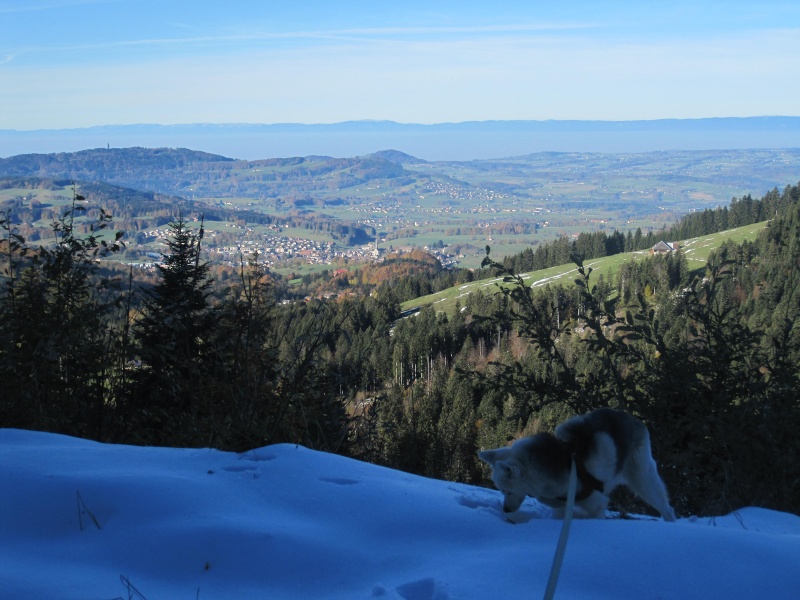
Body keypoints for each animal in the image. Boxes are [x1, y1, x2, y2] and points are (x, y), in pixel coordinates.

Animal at [478, 408, 680, 520]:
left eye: (508, 491)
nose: (505, 510)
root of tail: (636, 421)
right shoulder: (561, 505)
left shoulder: (598, 503)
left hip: (642, 480)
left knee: (667, 508)